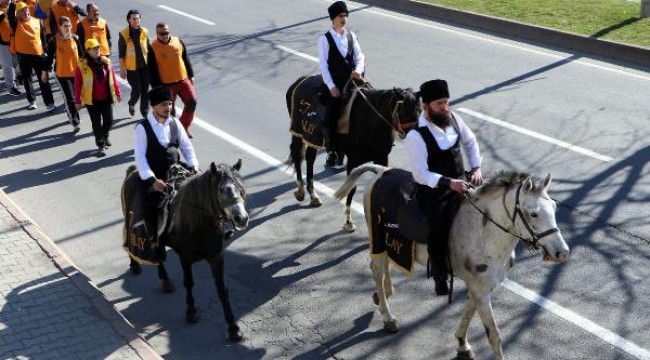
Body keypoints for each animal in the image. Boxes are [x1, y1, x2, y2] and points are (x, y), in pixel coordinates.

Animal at [119, 161, 248, 344]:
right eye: (222, 190)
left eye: (241, 188)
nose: (242, 219)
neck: (199, 223)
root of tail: (133, 171)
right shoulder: (185, 258)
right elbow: (189, 282)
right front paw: (191, 311)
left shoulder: (216, 257)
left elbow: (222, 289)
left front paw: (233, 328)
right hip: (129, 220)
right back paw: (135, 265)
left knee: (158, 255)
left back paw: (165, 280)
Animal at [284, 74, 418, 228]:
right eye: (406, 111)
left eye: (420, 111)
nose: (416, 135)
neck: (370, 120)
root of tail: (301, 80)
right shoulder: (354, 160)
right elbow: (351, 189)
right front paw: (348, 221)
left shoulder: (382, 158)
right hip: (298, 133)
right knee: (297, 156)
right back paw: (301, 191)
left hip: (312, 138)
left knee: (309, 159)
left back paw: (313, 196)